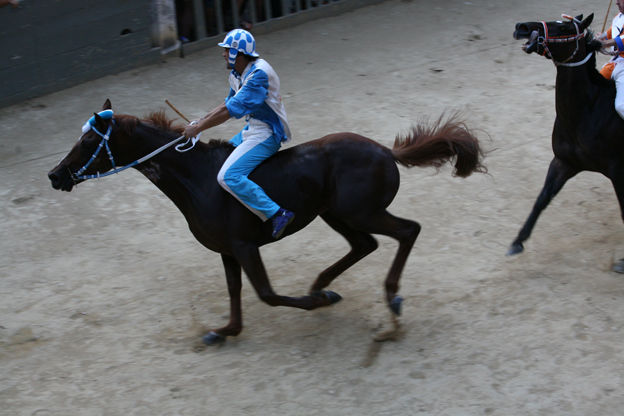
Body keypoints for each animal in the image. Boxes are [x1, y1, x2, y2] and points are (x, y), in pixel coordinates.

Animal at [48, 100, 488, 344]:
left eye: (89, 141)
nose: (54, 175)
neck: (198, 179)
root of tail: (385, 150)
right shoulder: (227, 251)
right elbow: (235, 292)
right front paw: (224, 332)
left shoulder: (245, 247)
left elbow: (266, 294)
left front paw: (312, 303)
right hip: (335, 214)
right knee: (365, 245)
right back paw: (324, 286)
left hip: (361, 212)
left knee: (407, 231)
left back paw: (388, 299)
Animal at [512, 14, 624, 272]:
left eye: (563, 28)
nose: (522, 27)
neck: (587, 111)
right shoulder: (564, 162)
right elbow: (542, 198)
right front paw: (518, 241)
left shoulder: (618, 170)